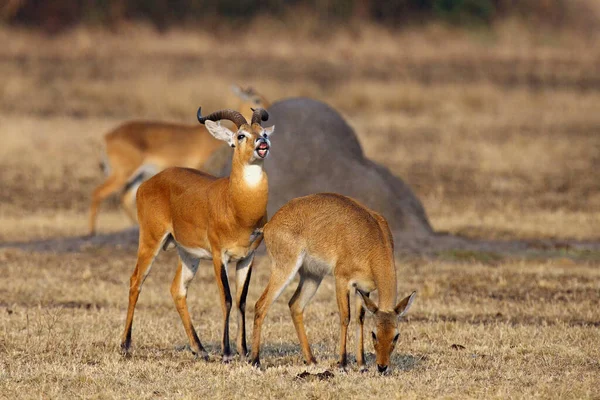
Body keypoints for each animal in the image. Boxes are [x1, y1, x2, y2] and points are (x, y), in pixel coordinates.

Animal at [88, 86, 270, 238]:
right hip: (122, 173)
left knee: (125, 199)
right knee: (98, 192)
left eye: (263, 132)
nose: (262, 144)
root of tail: (107, 137)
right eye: (256, 99)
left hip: (136, 176)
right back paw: (91, 232)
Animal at [120, 107, 274, 362]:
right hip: (151, 241)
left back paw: (199, 349)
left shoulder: (247, 258)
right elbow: (226, 299)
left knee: (177, 290)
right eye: (241, 135)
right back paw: (125, 344)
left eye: (262, 131)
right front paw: (226, 353)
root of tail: (148, 183)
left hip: (188, 255)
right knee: (135, 281)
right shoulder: (219, 256)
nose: (263, 144)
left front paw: (243, 351)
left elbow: (241, 301)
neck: (236, 206)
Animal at [251, 192, 414, 374]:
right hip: (285, 269)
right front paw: (342, 363)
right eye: (374, 334)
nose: (382, 366)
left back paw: (311, 360)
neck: (372, 241)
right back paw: (255, 361)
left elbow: (360, 319)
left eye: (396, 335)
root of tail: (269, 225)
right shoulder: (342, 280)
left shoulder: (363, 288)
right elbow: (345, 317)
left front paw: (362, 364)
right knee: (261, 304)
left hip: (313, 276)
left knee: (295, 305)